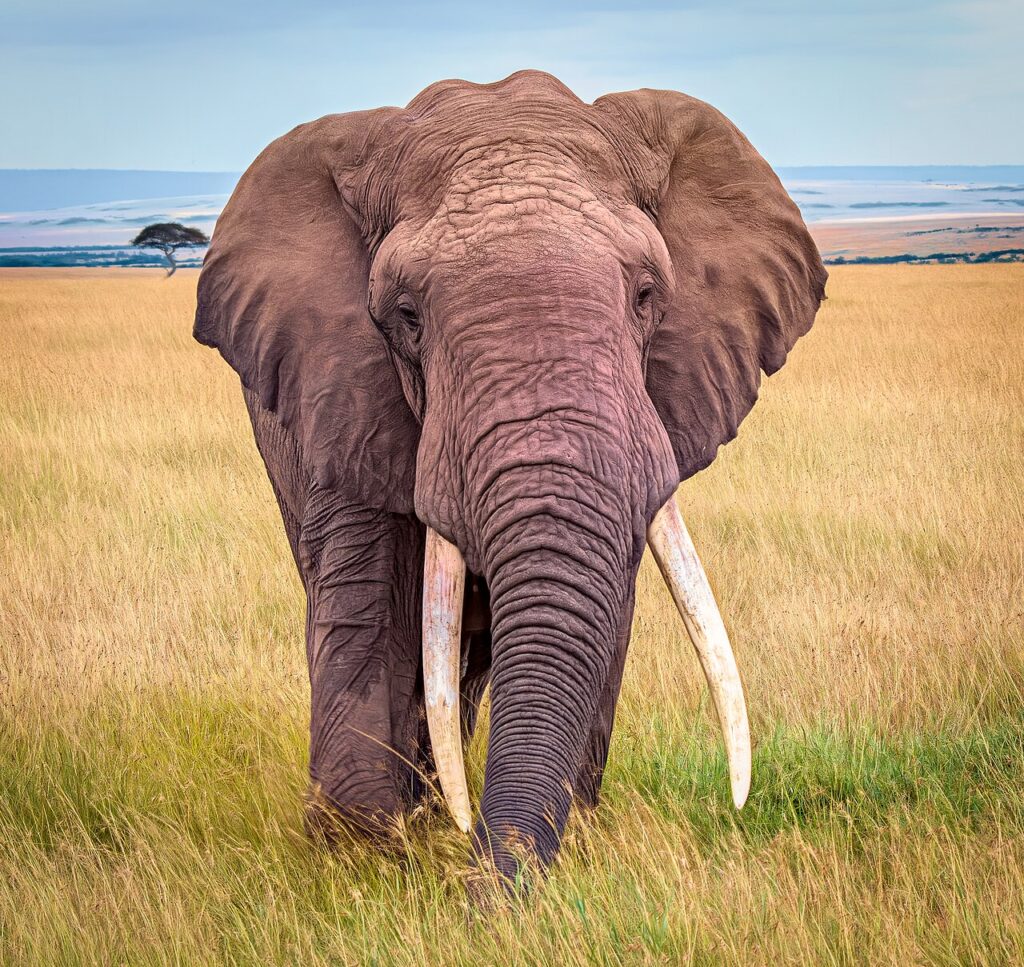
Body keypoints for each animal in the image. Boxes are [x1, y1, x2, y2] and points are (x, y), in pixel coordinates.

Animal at [193, 70, 826, 885]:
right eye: (406, 315)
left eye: (647, 295)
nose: (488, 881)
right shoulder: (341, 388)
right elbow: (373, 605)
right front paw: (361, 861)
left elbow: (602, 609)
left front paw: (562, 843)